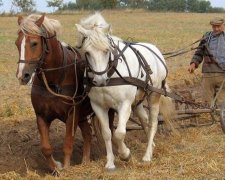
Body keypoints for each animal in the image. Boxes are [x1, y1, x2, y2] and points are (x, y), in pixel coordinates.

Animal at [14, 13, 92, 173]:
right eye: (17, 43)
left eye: (34, 43)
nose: (22, 76)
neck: (54, 79)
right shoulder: (41, 116)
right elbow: (45, 148)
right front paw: (56, 167)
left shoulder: (72, 114)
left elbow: (68, 144)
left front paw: (66, 168)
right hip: (82, 117)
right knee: (88, 135)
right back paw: (86, 162)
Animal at [75, 13, 174, 170]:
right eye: (87, 52)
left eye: (107, 51)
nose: (100, 80)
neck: (111, 74)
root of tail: (155, 50)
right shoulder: (98, 106)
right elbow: (107, 133)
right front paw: (110, 163)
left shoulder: (125, 104)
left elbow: (119, 133)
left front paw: (125, 154)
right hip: (138, 100)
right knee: (144, 120)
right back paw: (151, 145)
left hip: (154, 95)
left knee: (152, 123)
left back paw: (147, 156)